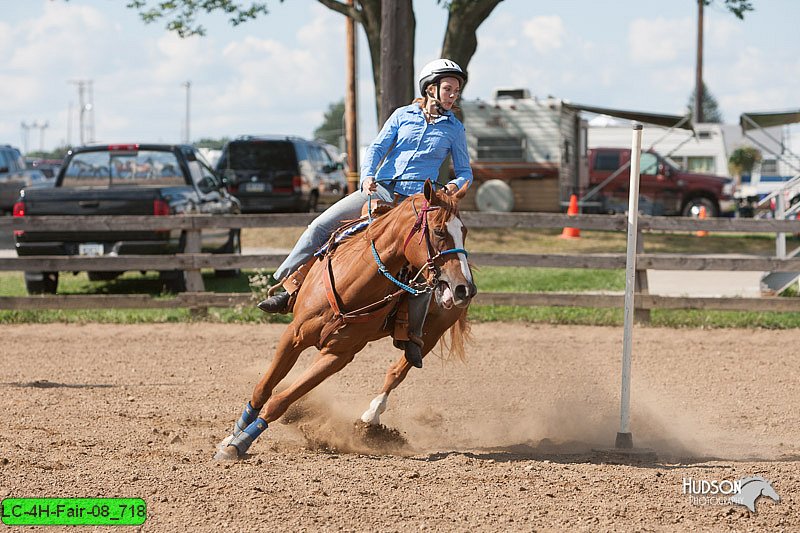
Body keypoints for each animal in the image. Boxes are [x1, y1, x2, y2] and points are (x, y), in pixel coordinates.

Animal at [214, 181, 476, 460]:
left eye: (464, 231)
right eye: (438, 231)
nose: (464, 289)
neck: (351, 284)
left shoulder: (337, 355)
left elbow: (281, 400)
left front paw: (240, 443)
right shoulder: (293, 336)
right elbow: (263, 389)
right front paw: (233, 435)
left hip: (432, 333)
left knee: (397, 371)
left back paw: (371, 417)